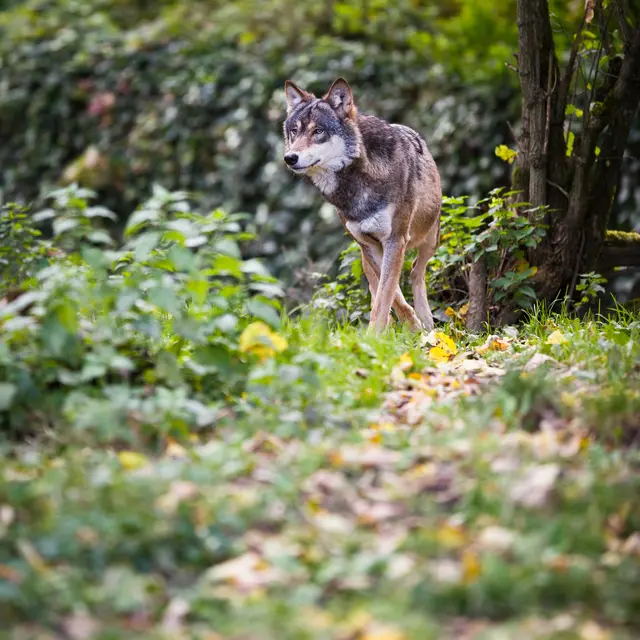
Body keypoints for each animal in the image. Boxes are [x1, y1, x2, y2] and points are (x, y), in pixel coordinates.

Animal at [282, 77, 441, 332]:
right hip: (364, 253)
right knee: (378, 285)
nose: (290, 158)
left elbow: (386, 295)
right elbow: (390, 297)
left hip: (430, 240)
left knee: (417, 271)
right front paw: (390, 330)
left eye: (318, 131)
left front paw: (391, 332)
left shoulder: (396, 240)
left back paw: (427, 322)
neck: (356, 184)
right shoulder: (370, 245)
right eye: (294, 131)